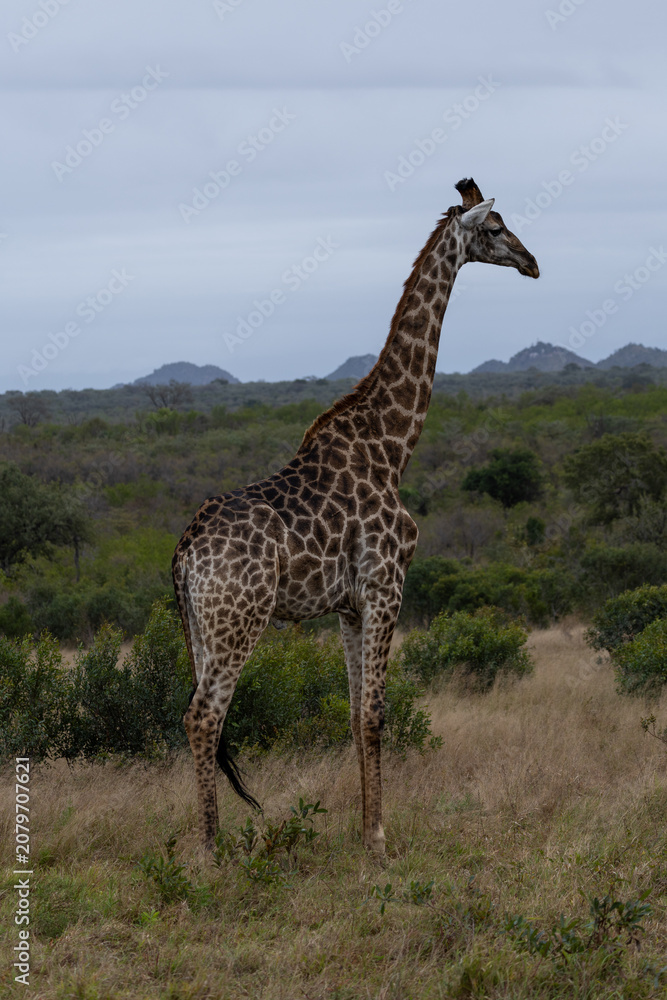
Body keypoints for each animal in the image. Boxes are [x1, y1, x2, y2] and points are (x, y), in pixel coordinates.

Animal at [173, 178, 539, 854]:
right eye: (496, 227)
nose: (532, 262)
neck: (393, 447)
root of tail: (183, 553)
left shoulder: (347, 605)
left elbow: (349, 712)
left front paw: (362, 832)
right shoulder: (386, 585)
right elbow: (375, 712)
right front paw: (379, 839)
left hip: (202, 628)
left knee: (195, 716)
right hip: (238, 620)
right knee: (205, 716)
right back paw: (211, 854)